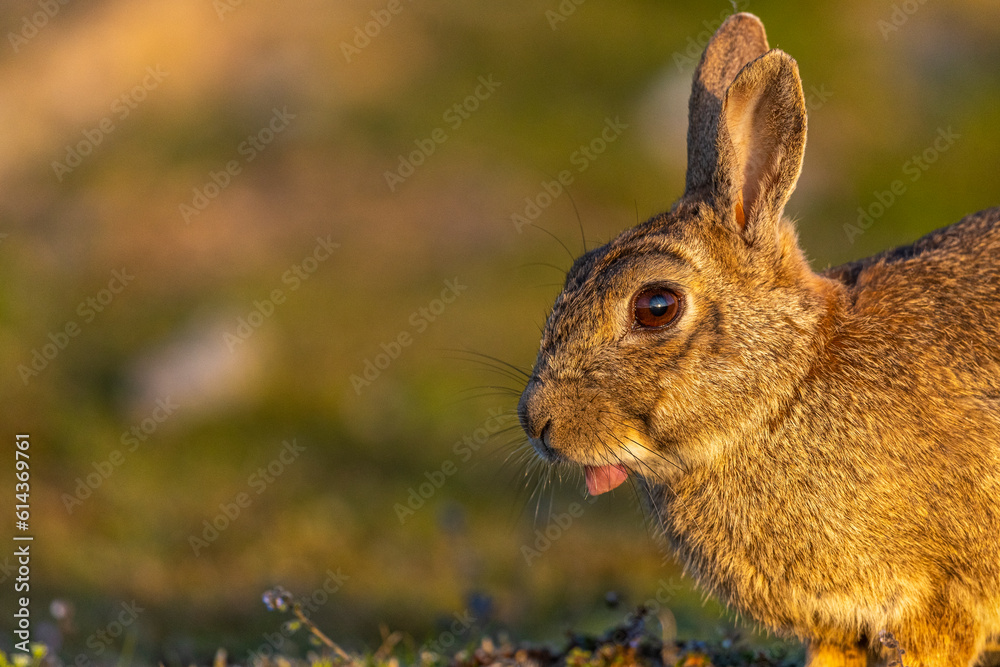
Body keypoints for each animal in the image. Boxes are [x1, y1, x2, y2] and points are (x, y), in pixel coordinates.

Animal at [516, 11, 1000, 667]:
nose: (537, 422)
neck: (786, 390)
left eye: (656, 307)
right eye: (575, 272)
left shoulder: (944, 599)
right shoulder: (838, 627)